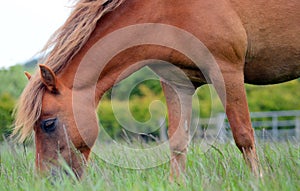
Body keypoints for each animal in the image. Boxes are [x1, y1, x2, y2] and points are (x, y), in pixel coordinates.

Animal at [14, 0, 300, 179]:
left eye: (48, 124)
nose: (47, 179)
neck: (168, 8)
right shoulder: (177, 83)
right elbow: (177, 144)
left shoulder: (226, 71)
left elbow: (244, 137)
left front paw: (258, 180)